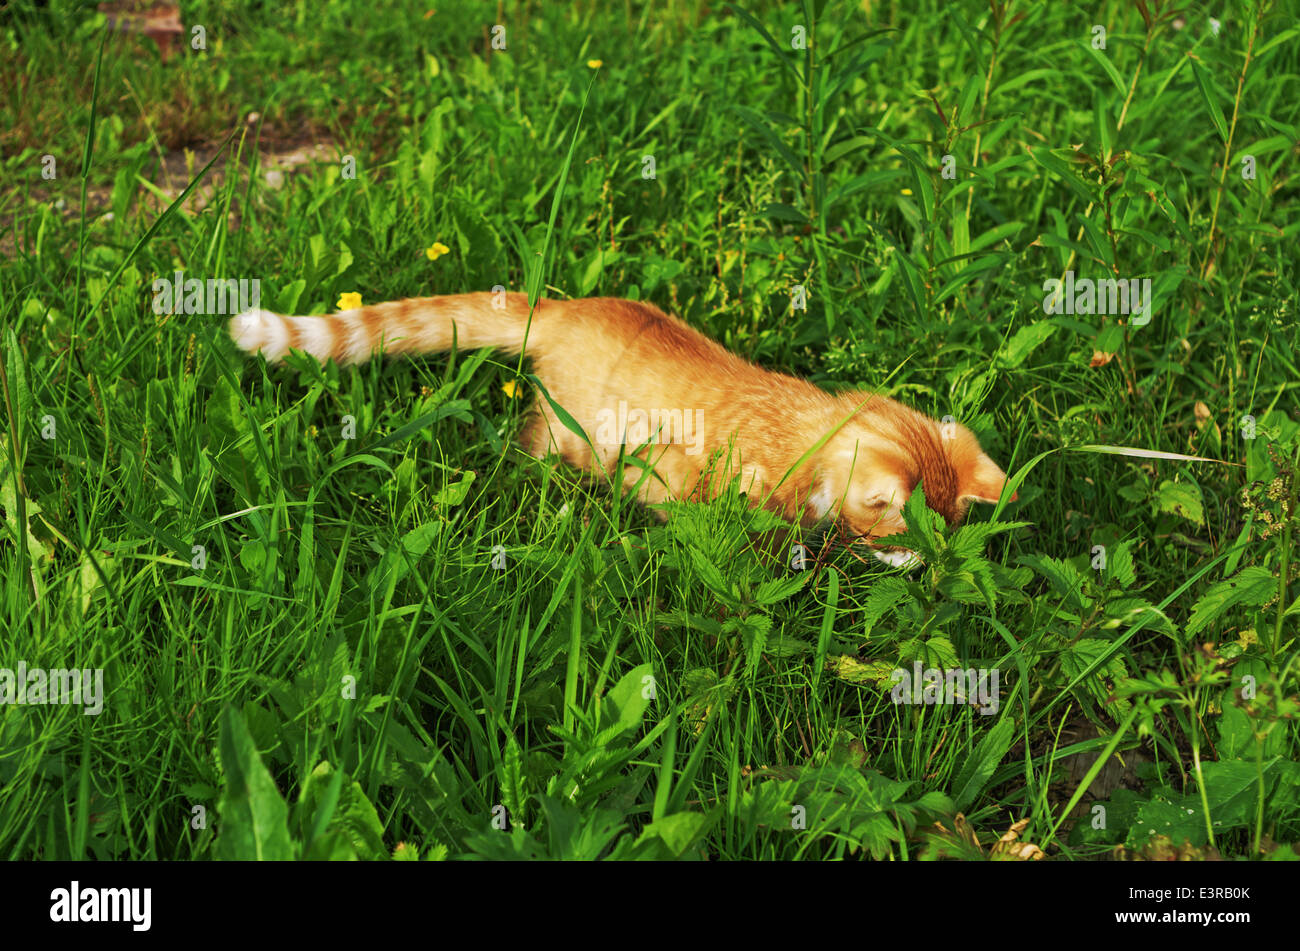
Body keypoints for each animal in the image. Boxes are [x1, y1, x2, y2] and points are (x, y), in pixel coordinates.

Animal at [231, 293, 1013, 561]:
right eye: (901, 535)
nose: (927, 568)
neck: (805, 428)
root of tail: (562, 306)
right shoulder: (675, 476)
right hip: (569, 434)